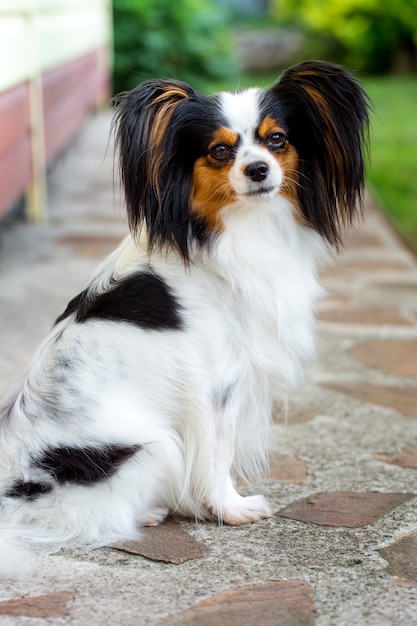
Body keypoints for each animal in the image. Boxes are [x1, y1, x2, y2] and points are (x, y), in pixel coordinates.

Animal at [0, 61, 368, 572]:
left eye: (277, 140)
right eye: (220, 150)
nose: (258, 169)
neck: (240, 231)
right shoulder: (217, 387)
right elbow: (218, 456)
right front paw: (230, 509)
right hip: (153, 448)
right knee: (93, 519)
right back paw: (149, 513)